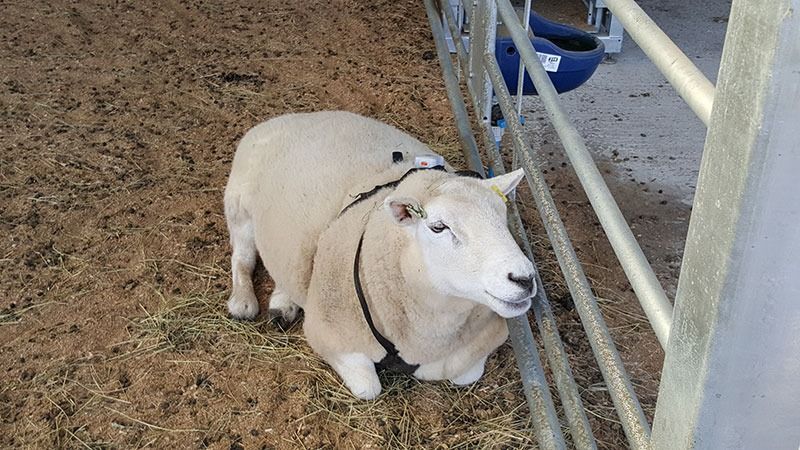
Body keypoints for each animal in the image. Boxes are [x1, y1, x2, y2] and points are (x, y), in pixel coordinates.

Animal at [225, 110, 536, 400]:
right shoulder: (327, 333)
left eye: (503, 216)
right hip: (237, 203)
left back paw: (283, 301)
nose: (525, 279)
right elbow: (368, 387)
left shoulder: (486, 338)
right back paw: (243, 301)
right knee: (242, 255)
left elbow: (464, 374)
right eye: (438, 227)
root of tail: (297, 117)